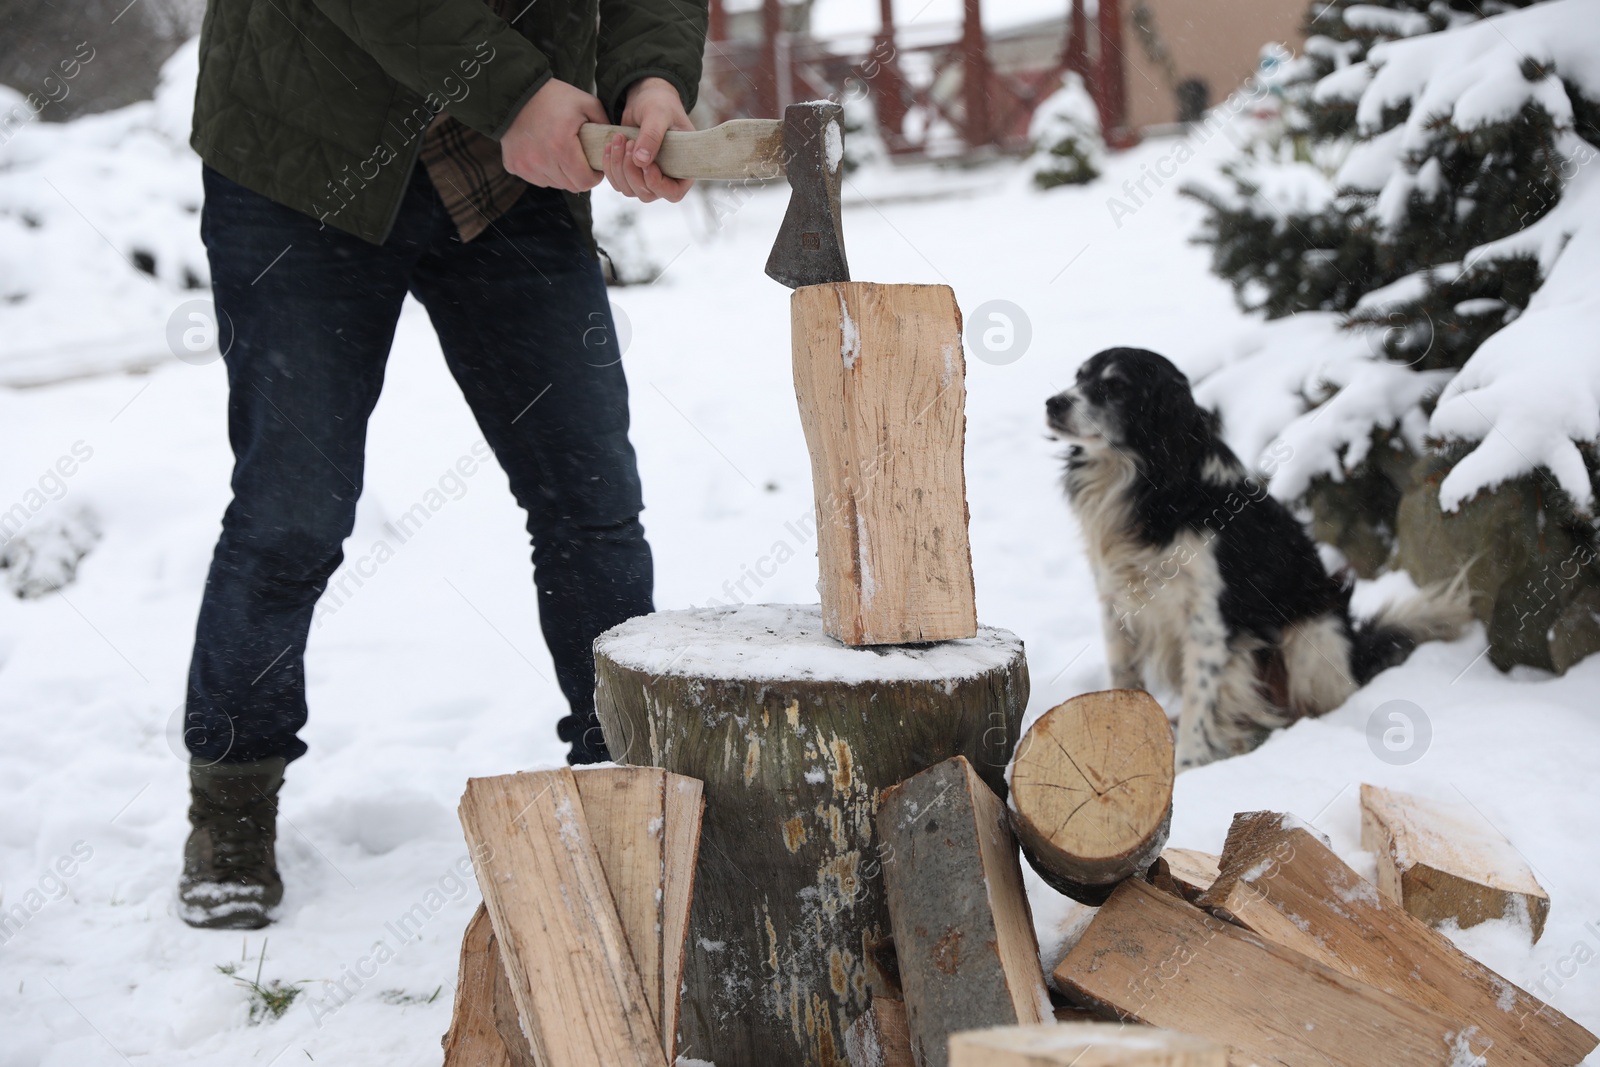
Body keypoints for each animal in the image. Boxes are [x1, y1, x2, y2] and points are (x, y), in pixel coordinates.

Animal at [1043, 348, 1465, 767]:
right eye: (1079, 377)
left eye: (1116, 386)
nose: (1052, 403)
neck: (1147, 486)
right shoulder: (1116, 605)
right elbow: (1123, 681)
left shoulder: (1208, 621)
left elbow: (1199, 706)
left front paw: (1188, 767)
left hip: (1312, 630)